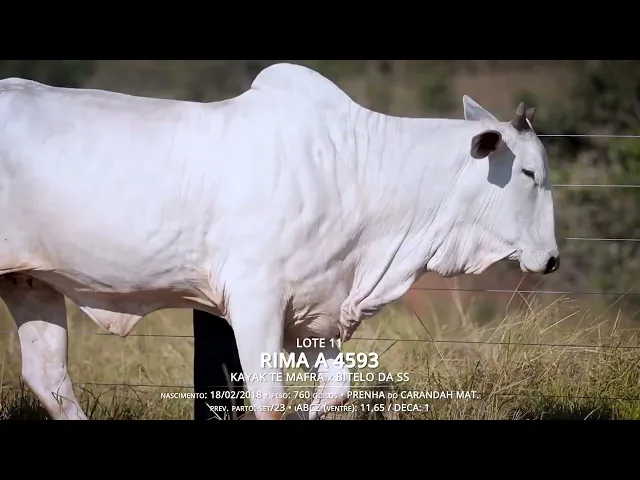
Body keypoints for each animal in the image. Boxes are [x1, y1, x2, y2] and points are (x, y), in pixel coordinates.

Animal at [0, 62, 559, 420]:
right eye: (529, 173)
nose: (552, 260)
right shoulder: (255, 301)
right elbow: (269, 402)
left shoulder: (313, 310)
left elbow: (336, 390)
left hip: (30, 283)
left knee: (50, 380)